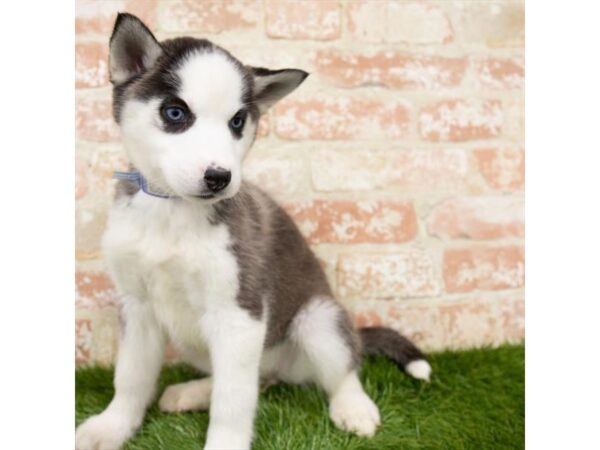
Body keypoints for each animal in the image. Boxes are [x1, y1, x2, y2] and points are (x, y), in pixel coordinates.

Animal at [75, 14, 432, 450]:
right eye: (175, 113)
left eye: (237, 121)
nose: (219, 178)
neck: (173, 210)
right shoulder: (137, 306)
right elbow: (129, 377)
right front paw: (112, 426)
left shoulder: (239, 313)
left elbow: (233, 401)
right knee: (256, 378)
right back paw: (193, 391)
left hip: (317, 319)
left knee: (341, 368)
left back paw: (354, 408)